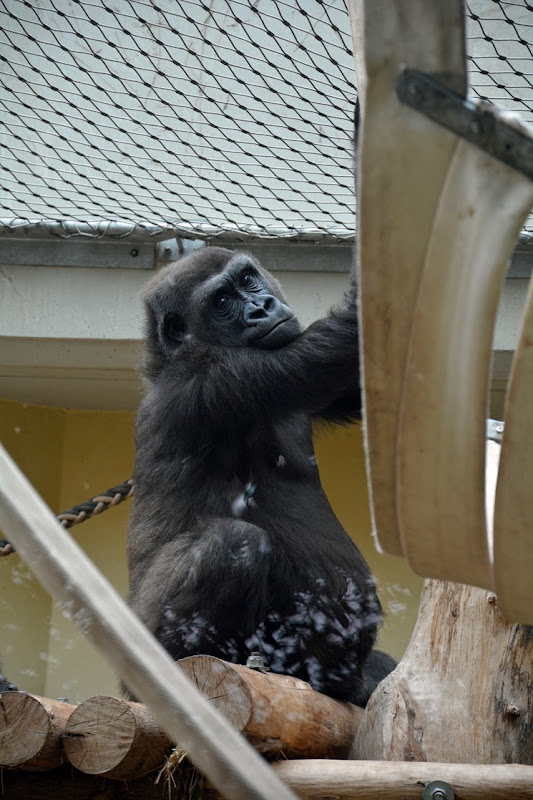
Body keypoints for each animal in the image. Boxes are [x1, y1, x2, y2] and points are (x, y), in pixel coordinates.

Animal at [127, 248, 392, 708]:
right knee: (235, 542)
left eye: (248, 280)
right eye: (221, 302)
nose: (261, 307)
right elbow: (344, 341)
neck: (169, 361)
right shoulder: (212, 377)